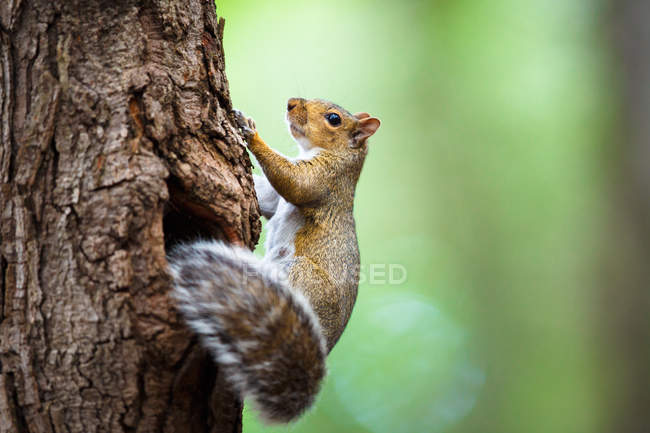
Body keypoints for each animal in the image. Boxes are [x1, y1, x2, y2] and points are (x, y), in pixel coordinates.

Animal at [166, 97, 380, 422]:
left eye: (334, 119)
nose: (291, 103)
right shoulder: (275, 199)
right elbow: (266, 197)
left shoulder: (326, 180)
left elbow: (295, 182)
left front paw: (249, 131)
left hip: (301, 276)